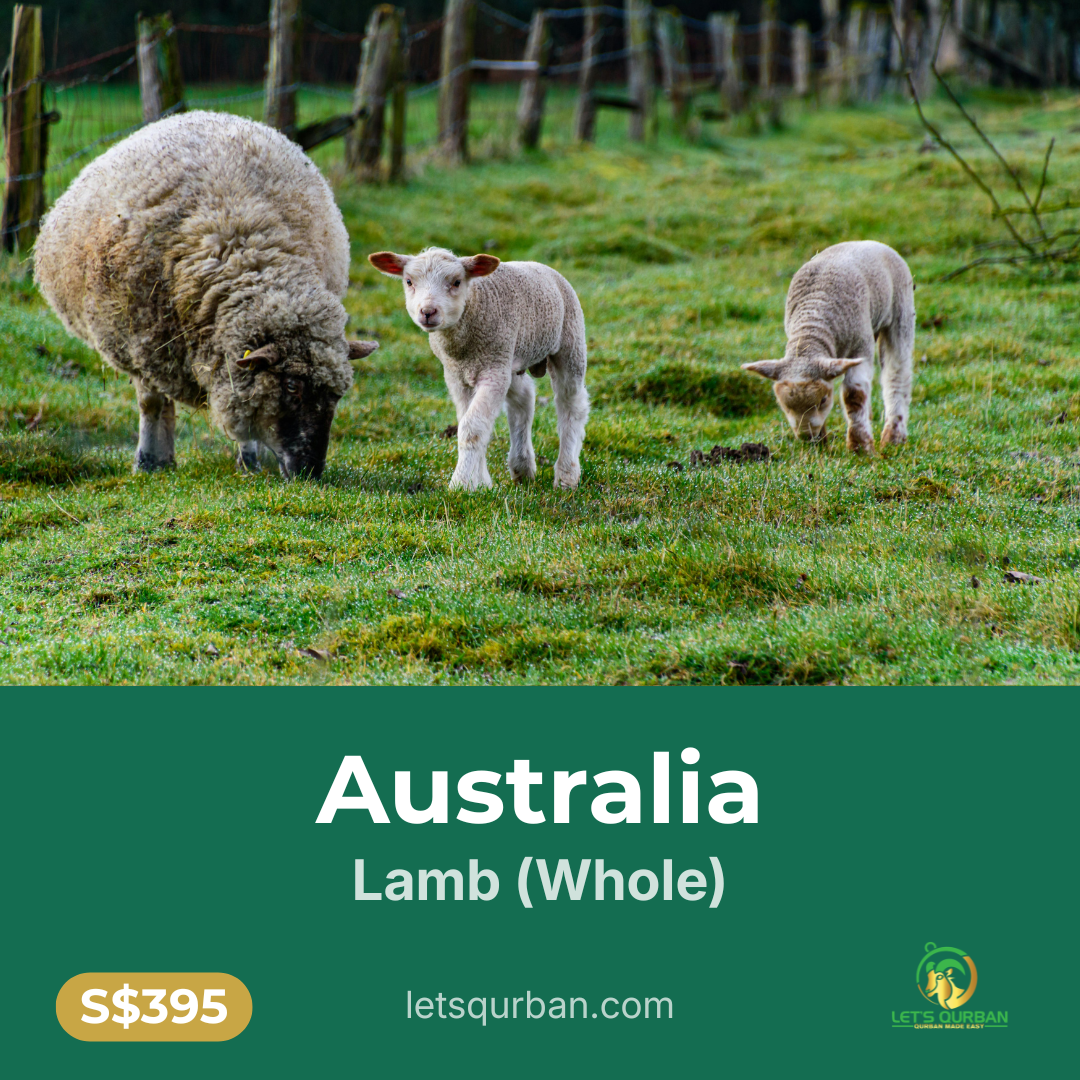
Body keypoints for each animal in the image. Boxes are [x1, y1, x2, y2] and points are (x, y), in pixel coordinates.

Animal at [34, 110, 378, 479]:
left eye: (337, 395)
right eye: (290, 387)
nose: (310, 472)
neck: (242, 248)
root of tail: (192, 114)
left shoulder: (231, 359)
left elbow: (242, 407)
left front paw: (249, 461)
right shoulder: (141, 346)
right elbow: (152, 404)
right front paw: (149, 461)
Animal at [368, 247, 589, 491]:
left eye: (456, 282)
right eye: (408, 281)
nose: (427, 311)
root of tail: (539, 265)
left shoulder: (492, 372)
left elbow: (472, 428)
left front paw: (461, 484)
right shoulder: (457, 376)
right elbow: (470, 422)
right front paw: (481, 483)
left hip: (569, 343)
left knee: (571, 404)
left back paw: (567, 476)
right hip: (510, 358)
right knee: (523, 400)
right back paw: (522, 468)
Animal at [742, 240, 915, 453]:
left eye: (824, 400)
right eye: (784, 405)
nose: (806, 436)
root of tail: (870, 242)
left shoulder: (860, 345)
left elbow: (854, 396)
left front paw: (860, 447)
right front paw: (819, 446)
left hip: (901, 310)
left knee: (897, 373)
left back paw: (893, 437)